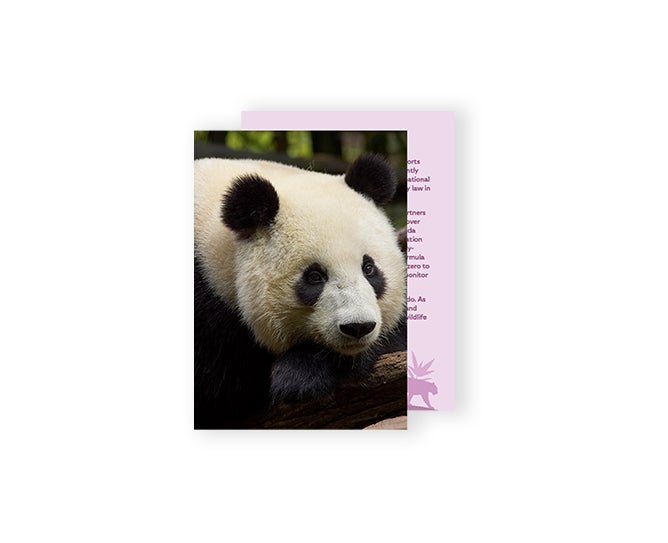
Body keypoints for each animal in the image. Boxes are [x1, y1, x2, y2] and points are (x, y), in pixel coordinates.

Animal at [194, 153, 406, 428]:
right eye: (314, 277)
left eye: (369, 268)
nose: (358, 327)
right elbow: (227, 391)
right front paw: (301, 376)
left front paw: (301, 373)